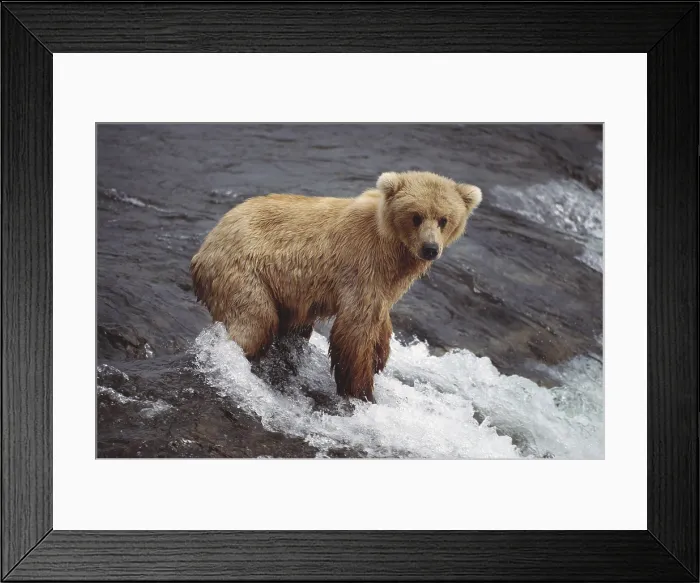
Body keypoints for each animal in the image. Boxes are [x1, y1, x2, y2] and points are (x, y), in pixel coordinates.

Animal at [190, 171, 482, 403]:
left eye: (444, 219)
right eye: (416, 216)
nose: (430, 248)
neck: (393, 249)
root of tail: (205, 245)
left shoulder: (387, 282)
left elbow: (379, 317)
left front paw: (380, 357)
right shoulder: (362, 265)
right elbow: (355, 329)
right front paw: (361, 391)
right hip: (243, 273)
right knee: (254, 323)